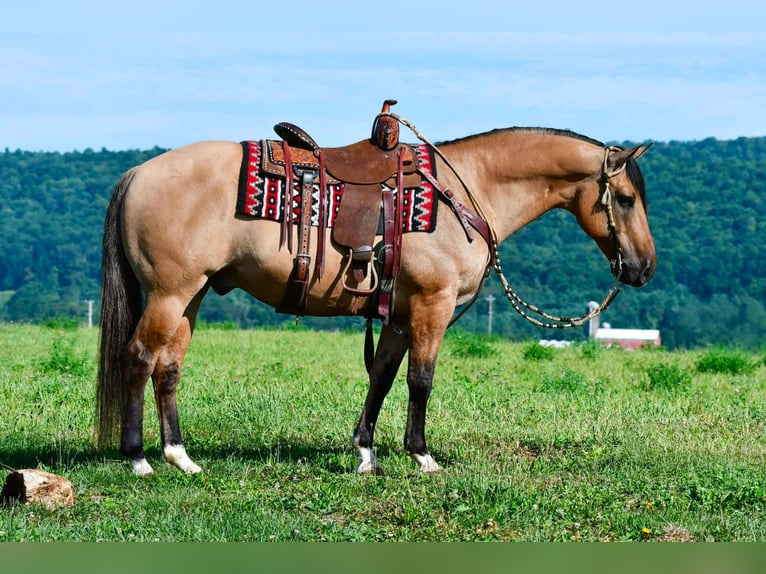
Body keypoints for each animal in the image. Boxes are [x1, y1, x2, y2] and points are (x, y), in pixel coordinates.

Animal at [96, 117, 655, 477]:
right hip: (169, 294)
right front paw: (422, 456)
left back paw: (180, 456)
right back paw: (138, 458)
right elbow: (420, 381)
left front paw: (366, 453)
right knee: (139, 358)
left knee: (168, 367)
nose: (643, 268)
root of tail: (138, 173)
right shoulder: (432, 305)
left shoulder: (400, 314)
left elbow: (382, 378)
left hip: (190, 296)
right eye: (626, 199)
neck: (466, 191)